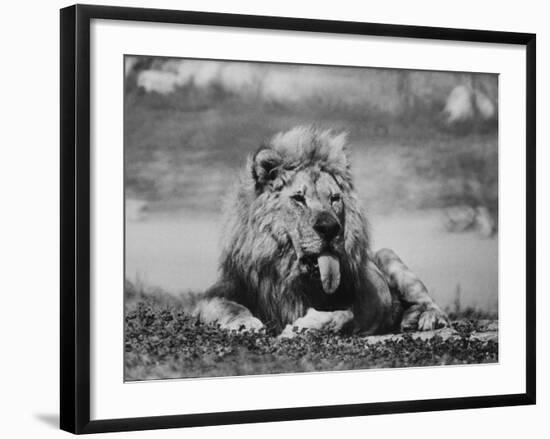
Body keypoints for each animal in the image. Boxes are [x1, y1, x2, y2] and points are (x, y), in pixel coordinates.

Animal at [196, 127, 450, 336]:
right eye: (299, 198)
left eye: (334, 198)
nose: (330, 228)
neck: (289, 274)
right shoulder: (219, 293)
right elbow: (226, 306)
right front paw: (245, 323)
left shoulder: (360, 303)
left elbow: (344, 315)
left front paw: (304, 325)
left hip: (389, 256)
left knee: (430, 302)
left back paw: (425, 318)